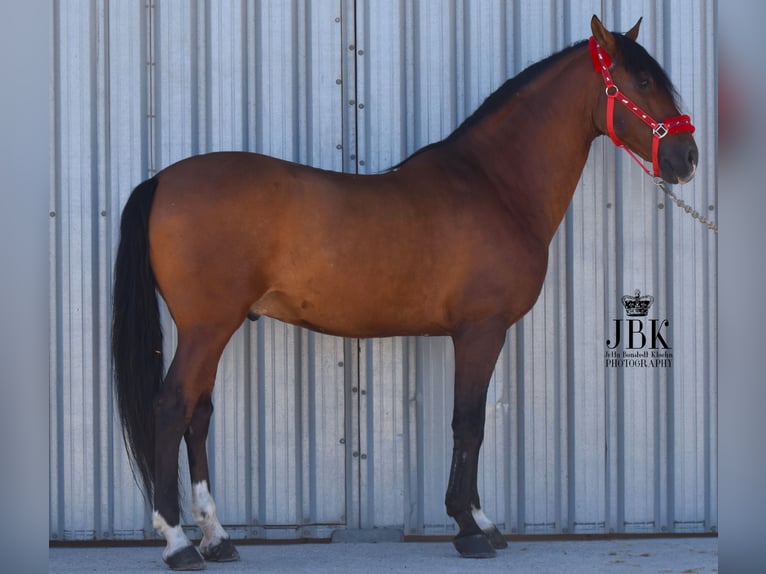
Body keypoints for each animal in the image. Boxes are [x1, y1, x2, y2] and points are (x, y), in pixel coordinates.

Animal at [109, 15, 704, 568]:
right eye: (642, 80)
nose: (688, 158)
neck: (496, 185)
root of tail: (162, 180)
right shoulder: (480, 331)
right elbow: (469, 424)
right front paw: (468, 529)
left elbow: (471, 423)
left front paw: (482, 522)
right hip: (207, 328)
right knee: (172, 408)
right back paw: (178, 542)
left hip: (212, 329)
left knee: (198, 415)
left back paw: (218, 538)